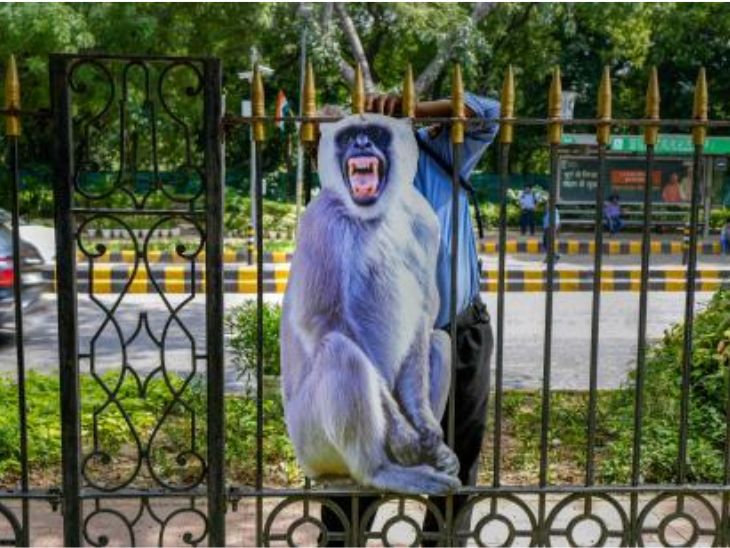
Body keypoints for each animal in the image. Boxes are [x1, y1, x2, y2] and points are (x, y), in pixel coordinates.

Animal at [280, 114, 461, 495]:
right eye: (350, 137)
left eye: (375, 133)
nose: (362, 143)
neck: (370, 215)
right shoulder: (321, 218)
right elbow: (322, 320)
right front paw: (404, 433)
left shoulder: (424, 219)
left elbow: (424, 316)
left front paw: (425, 426)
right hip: (310, 440)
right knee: (340, 351)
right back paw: (380, 470)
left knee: (439, 340)